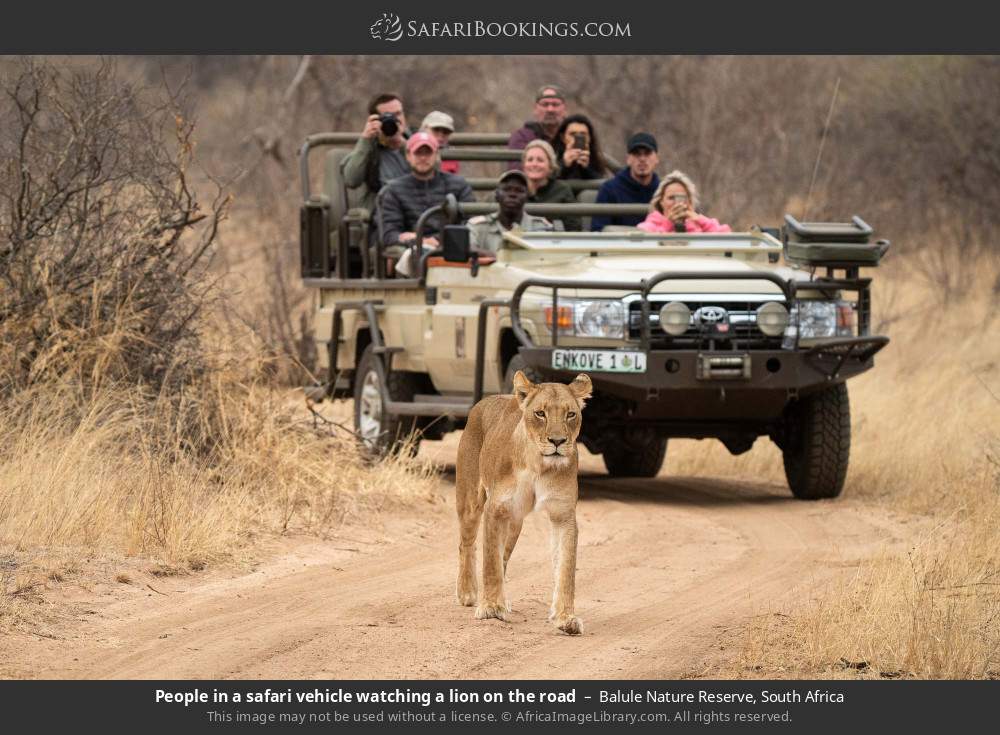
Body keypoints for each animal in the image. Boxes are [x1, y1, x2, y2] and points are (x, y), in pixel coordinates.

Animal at [455, 370, 592, 635]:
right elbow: (490, 562)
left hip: (515, 522)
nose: (558, 441)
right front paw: (491, 607)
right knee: (467, 545)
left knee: (504, 558)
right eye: (540, 413)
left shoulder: (563, 514)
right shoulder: (495, 508)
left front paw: (566, 618)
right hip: (470, 502)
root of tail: (484, 401)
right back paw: (467, 592)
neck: (539, 464)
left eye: (570, 414)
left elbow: (566, 568)